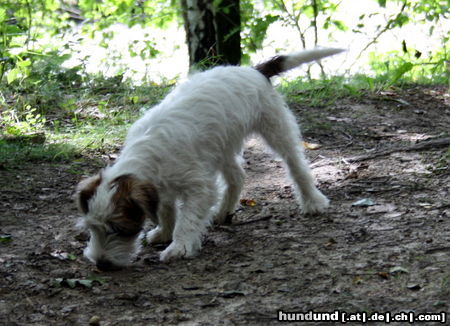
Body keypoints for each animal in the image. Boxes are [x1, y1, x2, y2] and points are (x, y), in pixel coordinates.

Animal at [76, 46, 344, 270]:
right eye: (92, 228)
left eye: (118, 228)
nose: (101, 264)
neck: (147, 153)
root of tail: (252, 70)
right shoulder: (162, 186)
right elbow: (165, 209)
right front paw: (164, 232)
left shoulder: (198, 186)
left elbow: (187, 220)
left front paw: (179, 246)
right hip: (221, 146)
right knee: (237, 176)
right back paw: (224, 211)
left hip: (275, 127)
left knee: (295, 164)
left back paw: (312, 201)